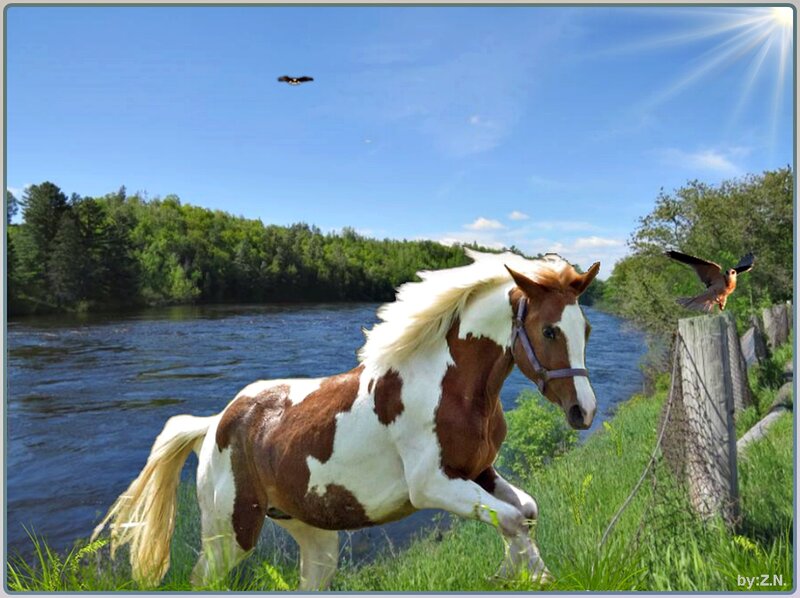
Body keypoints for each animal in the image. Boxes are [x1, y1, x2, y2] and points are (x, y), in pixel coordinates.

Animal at [91, 249, 600, 590]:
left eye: (588, 328)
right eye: (548, 330)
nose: (585, 411)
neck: (447, 385)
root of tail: (215, 423)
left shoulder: (478, 471)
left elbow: (525, 511)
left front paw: (514, 572)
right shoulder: (431, 485)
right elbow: (512, 518)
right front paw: (535, 577)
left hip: (312, 535)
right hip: (229, 533)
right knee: (203, 579)